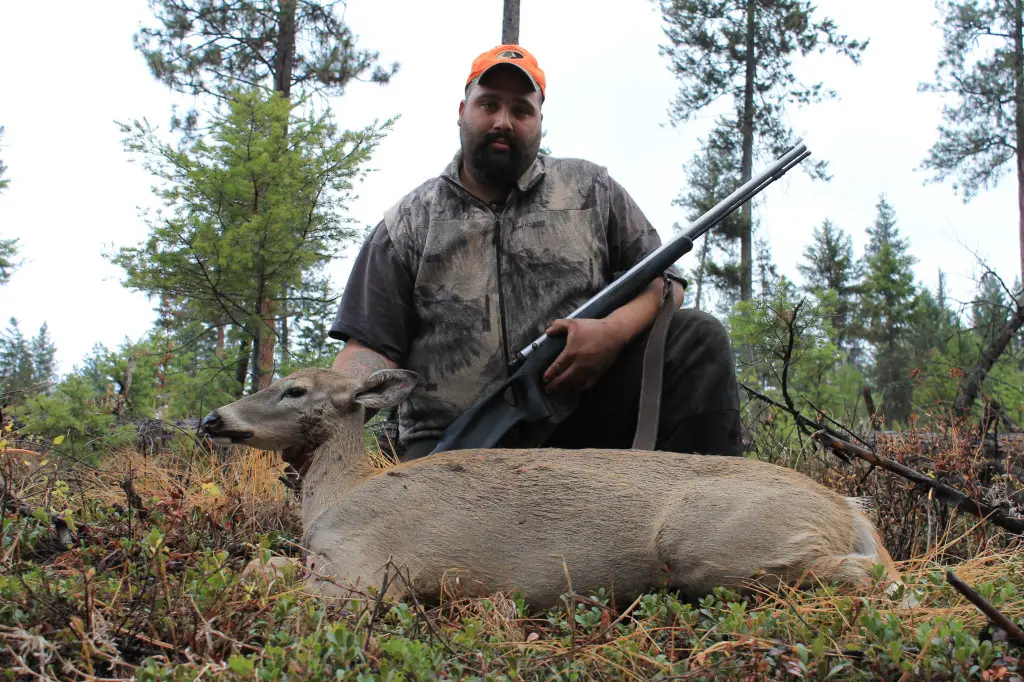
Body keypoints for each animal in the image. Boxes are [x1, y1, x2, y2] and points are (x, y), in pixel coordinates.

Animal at [201, 366, 905, 610]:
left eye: (294, 389)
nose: (212, 419)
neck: (339, 497)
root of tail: (848, 507)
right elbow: (260, 565)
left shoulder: (365, 570)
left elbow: (262, 577)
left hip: (715, 545)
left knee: (867, 575)